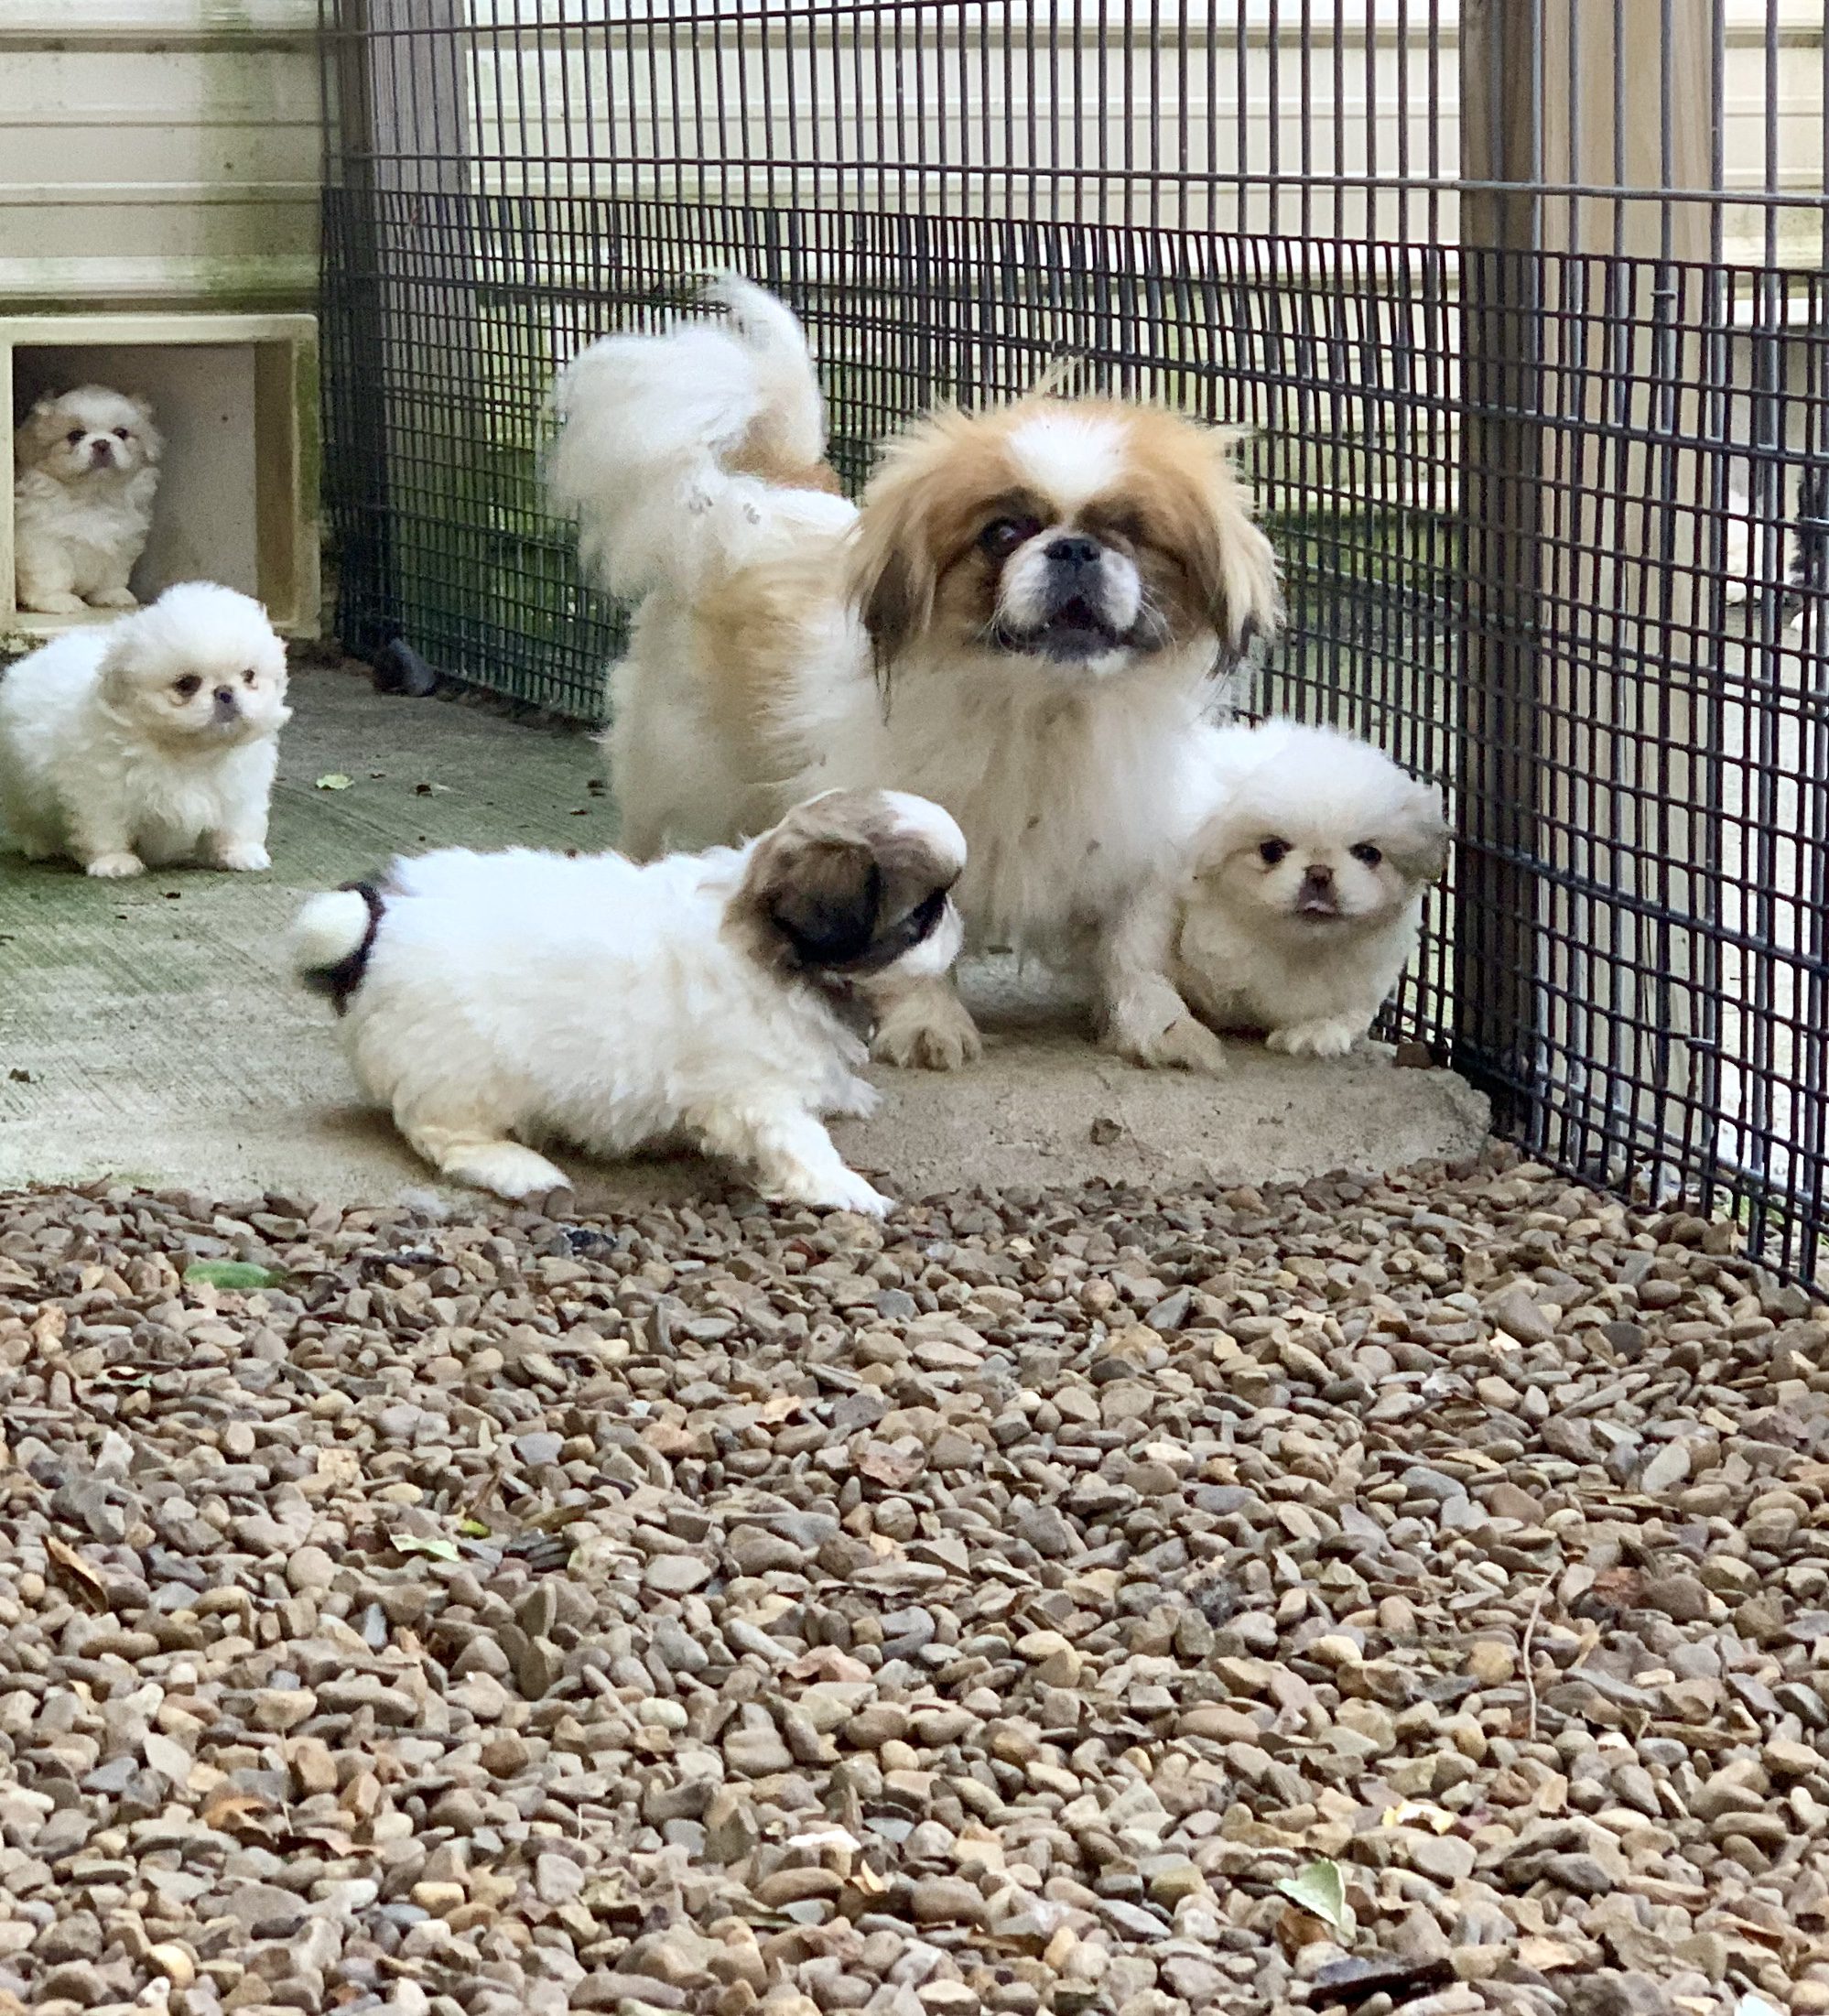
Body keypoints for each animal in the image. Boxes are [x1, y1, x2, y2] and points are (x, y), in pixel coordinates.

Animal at [0, 576, 292, 874]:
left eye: (249, 676)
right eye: (186, 684)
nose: (225, 692)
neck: (189, 755)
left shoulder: (240, 793)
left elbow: (236, 826)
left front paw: (241, 853)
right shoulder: (100, 791)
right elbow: (105, 829)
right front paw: (114, 862)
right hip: (18, 788)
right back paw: (38, 846)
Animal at [14, 385, 161, 612]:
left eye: (121, 433)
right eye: (75, 435)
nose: (101, 443)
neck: (93, 497)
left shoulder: (122, 542)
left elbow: (113, 575)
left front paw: (112, 595)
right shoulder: (42, 540)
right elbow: (54, 573)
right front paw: (58, 600)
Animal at [286, 786, 963, 1209]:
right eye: (921, 916)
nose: (958, 930)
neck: (775, 949)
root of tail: (377, 926)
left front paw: (846, 1095)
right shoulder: (752, 1092)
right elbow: (797, 1138)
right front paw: (847, 1189)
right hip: (465, 1075)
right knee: (443, 1136)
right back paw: (516, 1167)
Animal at [552, 280, 1282, 1089]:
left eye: (1132, 533)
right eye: (1003, 533)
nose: (1074, 548)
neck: (1041, 709)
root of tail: (769, 488)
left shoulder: (1135, 838)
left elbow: (1135, 949)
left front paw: (1159, 1027)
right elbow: (913, 947)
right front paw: (929, 1025)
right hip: (668, 753)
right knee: (644, 824)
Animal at [1169, 721, 1459, 1056]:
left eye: (1368, 854)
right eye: (1272, 850)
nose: (1319, 873)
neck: (1302, 953)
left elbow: (1349, 1013)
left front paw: (1317, 1032)